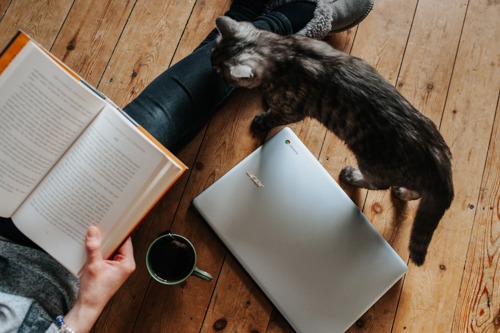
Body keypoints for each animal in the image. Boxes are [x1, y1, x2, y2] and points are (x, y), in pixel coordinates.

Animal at [210, 15, 454, 266]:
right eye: (211, 57)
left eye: (221, 71)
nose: (212, 71)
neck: (281, 49)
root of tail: (440, 160)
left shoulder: (290, 111)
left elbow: (273, 116)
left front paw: (262, 119)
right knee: (417, 192)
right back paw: (402, 192)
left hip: (373, 162)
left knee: (379, 183)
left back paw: (353, 176)